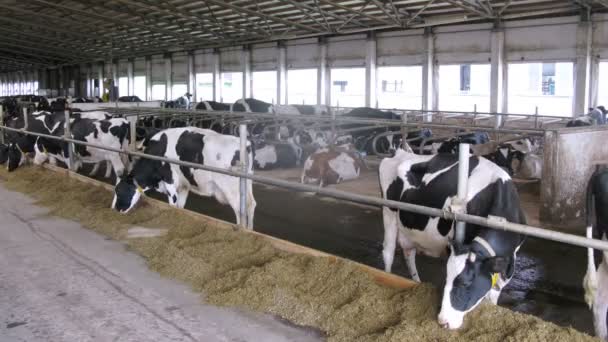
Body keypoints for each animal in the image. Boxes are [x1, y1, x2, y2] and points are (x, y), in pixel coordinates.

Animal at [113, 127, 255, 228]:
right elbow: (181, 206)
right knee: (250, 204)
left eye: (120, 191)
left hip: (231, 189)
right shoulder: (184, 186)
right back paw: (250, 229)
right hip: (247, 184)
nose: (116, 209)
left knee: (239, 210)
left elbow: (173, 204)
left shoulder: (169, 180)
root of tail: (245, 144)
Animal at [380, 149, 528, 328]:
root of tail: (399, 152)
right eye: (447, 278)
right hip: (389, 212)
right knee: (388, 252)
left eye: (465, 283)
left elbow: (494, 293)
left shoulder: (510, 260)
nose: (443, 322)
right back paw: (388, 275)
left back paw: (417, 282)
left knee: (409, 254)